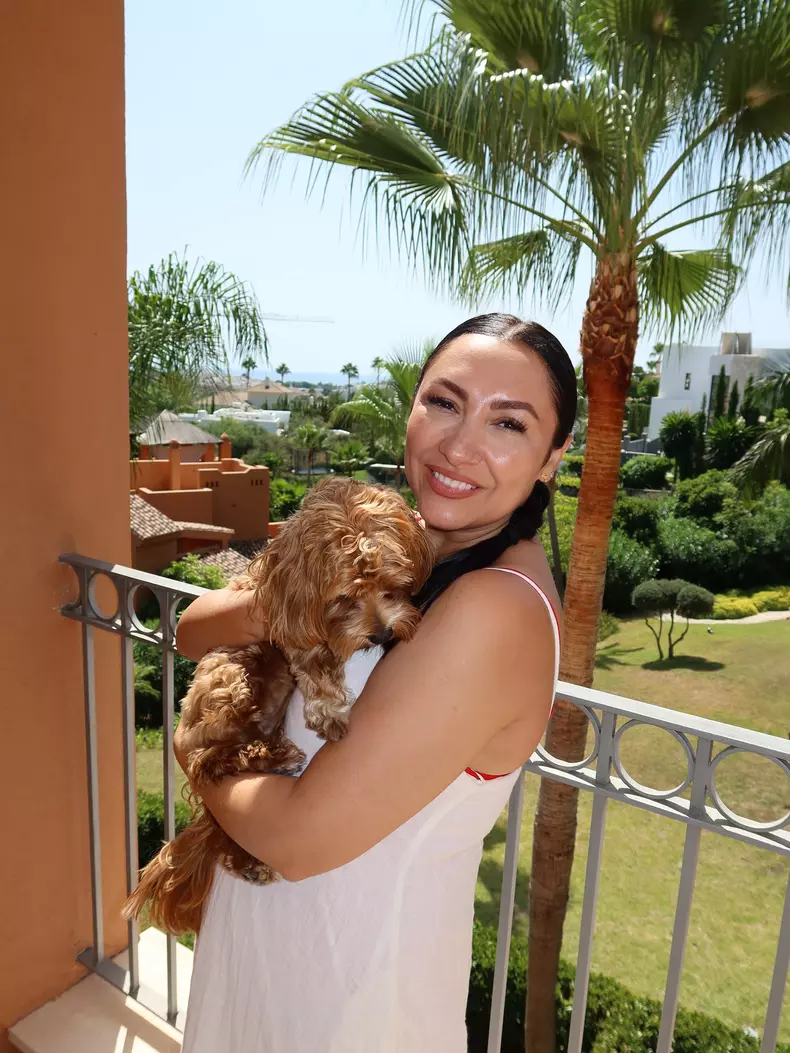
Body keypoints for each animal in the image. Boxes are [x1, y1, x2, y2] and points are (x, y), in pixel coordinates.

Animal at [123, 477, 435, 936]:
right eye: (345, 597)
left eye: (393, 585)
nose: (381, 635)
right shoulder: (286, 619)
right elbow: (314, 658)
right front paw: (329, 710)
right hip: (231, 678)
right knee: (209, 760)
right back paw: (273, 755)